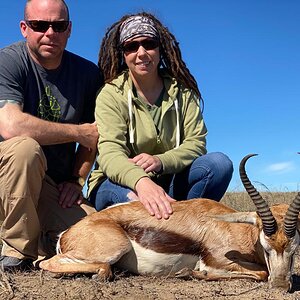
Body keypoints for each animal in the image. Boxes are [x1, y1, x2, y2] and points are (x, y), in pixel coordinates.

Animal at [39, 155, 300, 290]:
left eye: (294, 249)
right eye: (265, 246)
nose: (280, 285)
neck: (236, 230)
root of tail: (68, 233)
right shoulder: (217, 262)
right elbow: (260, 273)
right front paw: (191, 274)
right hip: (114, 248)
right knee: (46, 263)